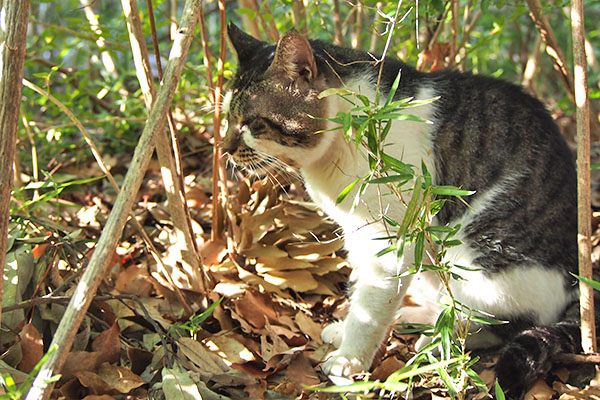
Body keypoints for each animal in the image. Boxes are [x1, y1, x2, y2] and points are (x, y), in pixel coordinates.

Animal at [223, 23, 584, 398]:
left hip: (474, 253)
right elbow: (360, 290)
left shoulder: (392, 239)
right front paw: (344, 330)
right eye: (228, 118)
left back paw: (436, 339)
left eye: (252, 123)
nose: (226, 148)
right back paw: (419, 318)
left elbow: (370, 307)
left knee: (503, 320)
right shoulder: (357, 230)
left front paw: (349, 359)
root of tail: (577, 280)